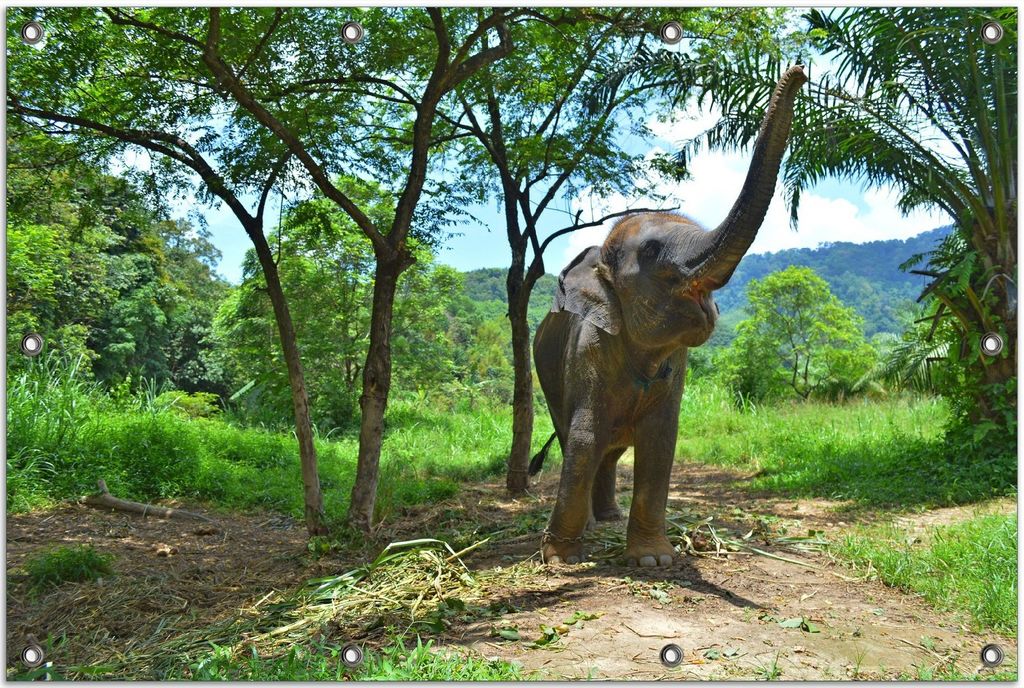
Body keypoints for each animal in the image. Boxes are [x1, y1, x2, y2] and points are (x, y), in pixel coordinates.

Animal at [530, 65, 807, 567]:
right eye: (653, 251)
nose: (798, 69)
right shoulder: (587, 350)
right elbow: (584, 437)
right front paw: (559, 560)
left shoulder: (675, 366)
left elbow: (660, 442)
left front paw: (653, 560)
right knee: (577, 438)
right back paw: (592, 526)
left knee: (612, 450)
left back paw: (609, 520)